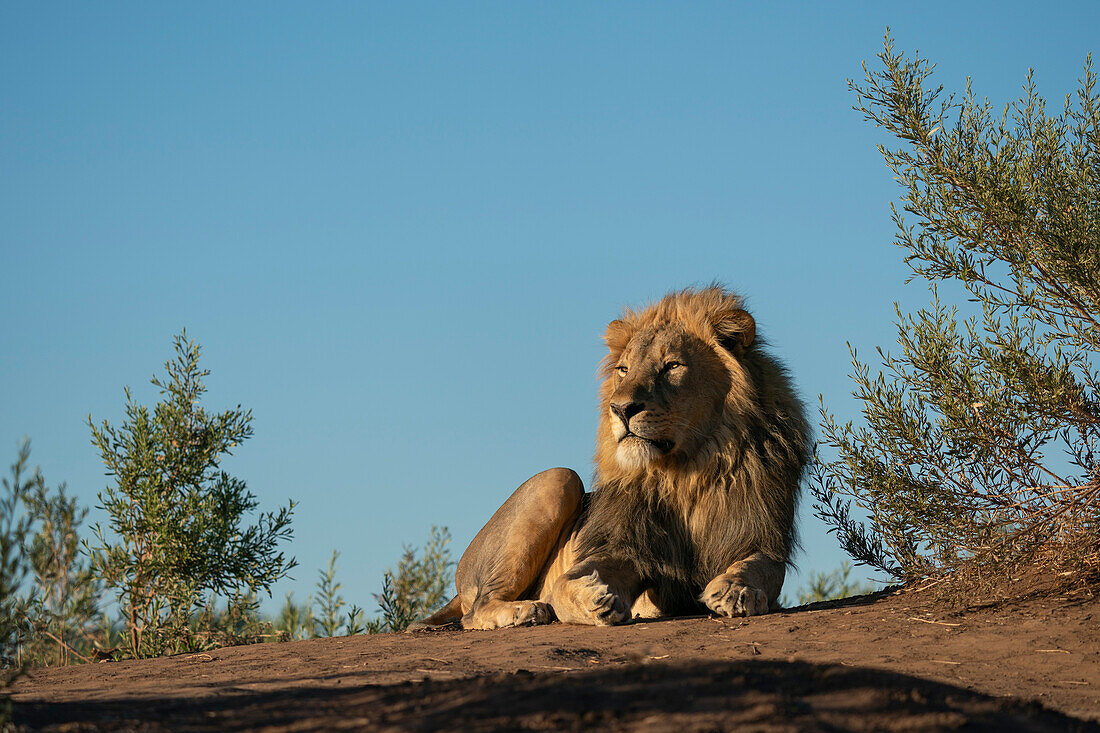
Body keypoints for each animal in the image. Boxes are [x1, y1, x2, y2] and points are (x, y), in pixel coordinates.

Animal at [411, 286, 809, 629]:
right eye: (624, 370)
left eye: (672, 366)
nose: (620, 408)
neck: (688, 472)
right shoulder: (628, 546)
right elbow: (569, 581)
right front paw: (591, 597)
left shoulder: (761, 536)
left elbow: (760, 567)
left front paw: (735, 589)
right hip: (558, 478)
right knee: (475, 611)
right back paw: (526, 610)